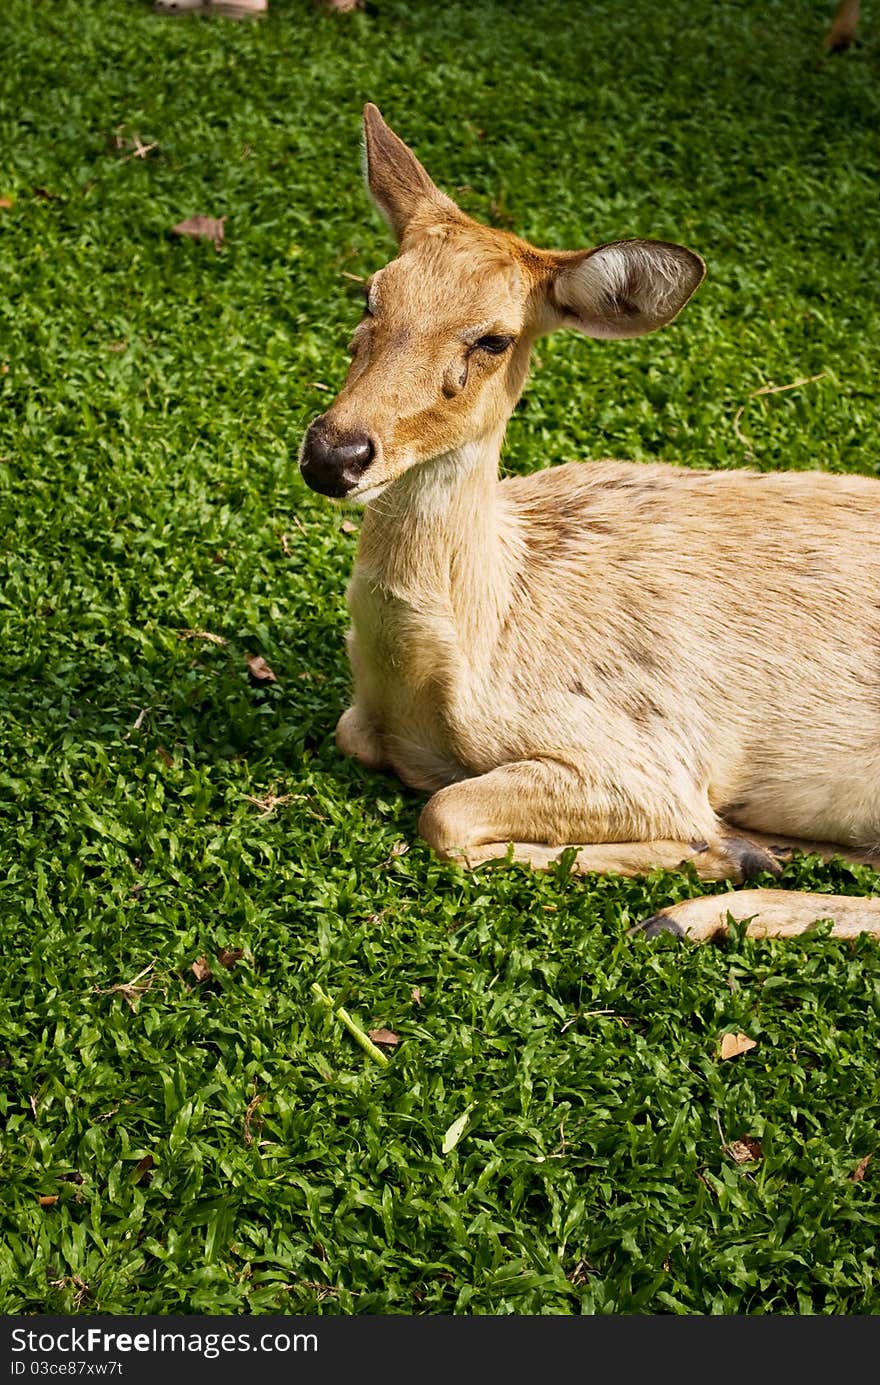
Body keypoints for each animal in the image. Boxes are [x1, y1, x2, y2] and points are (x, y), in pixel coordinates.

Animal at [297, 105, 880, 941]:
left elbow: (445, 813)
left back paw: (693, 905)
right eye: (371, 297)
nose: (334, 452)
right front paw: (733, 849)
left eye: (494, 337)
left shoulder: (643, 753)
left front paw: (716, 847)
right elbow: (377, 756)